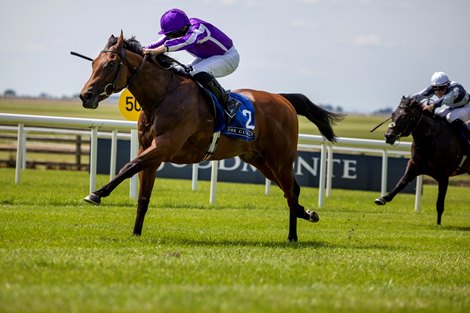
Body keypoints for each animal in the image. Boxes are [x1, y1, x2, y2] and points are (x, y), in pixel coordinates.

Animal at [79, 32, 340, 241]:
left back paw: (292, 236)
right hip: (259, 159)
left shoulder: (165, 145)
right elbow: (143, 195)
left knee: (291, 192)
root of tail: (283, 99)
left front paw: (97, 193)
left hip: (280, 158)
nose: (85, 96)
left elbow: (128, 166)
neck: (162, 96)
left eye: (110, 64)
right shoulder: (149, 150)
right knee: (291, 190)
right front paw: (135, 233)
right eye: (93, 64)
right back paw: (307, 213)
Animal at [372, 95, 468, 224]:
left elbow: (440, 203)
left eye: (405, 116)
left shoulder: (444, 175)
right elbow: (402, 182)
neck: (431, 141)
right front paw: (383, 198)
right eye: (393, 114)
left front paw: (438, 224)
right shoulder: (414, 164)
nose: (389, 136)